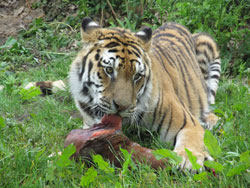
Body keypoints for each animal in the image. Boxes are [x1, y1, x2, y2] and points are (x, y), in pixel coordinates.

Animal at [25, 17, 222, 170]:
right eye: (109, 70)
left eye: (137, 76)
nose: (122, 106)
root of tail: (174, 23)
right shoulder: (89, 126)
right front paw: (52, 157)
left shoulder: (188, 123)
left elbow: (190, 143)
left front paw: (189, 161)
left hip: (208, 46)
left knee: (210, 99)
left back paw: (211, 119)